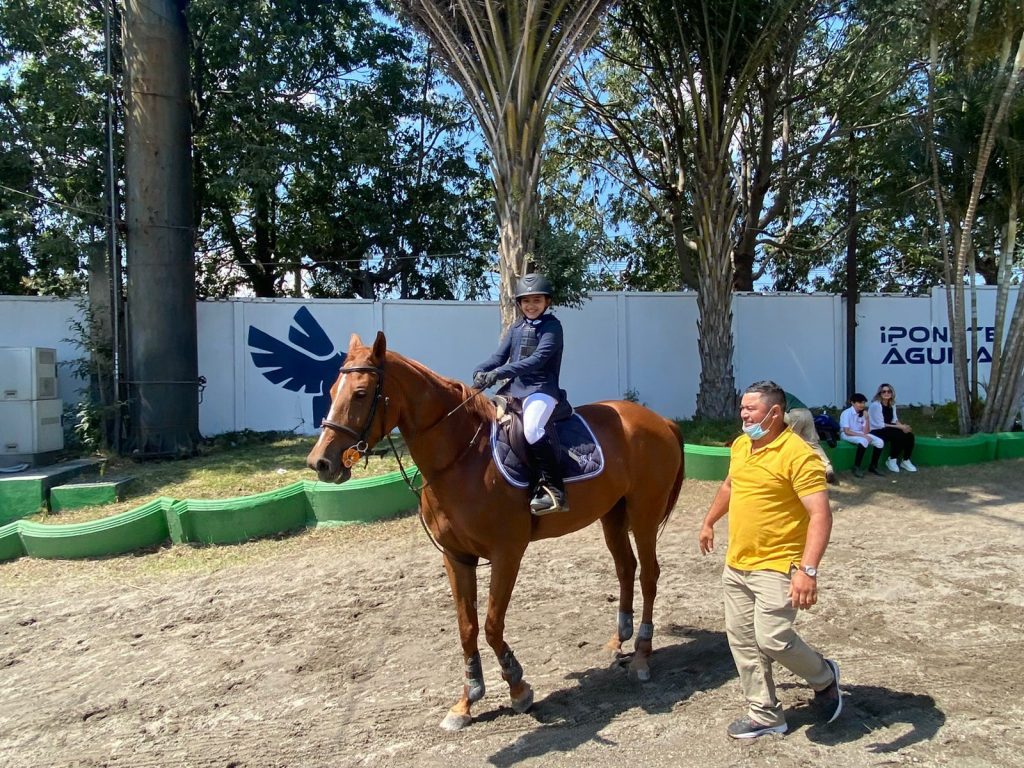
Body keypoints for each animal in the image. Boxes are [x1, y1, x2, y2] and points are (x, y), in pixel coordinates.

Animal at [307, 333, 684, 729]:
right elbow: (467, 627)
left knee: (649, 575)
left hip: (644, 513)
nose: (320, 463)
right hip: (613, 514)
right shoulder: (457, 558)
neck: (460, 459)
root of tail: (659, 420)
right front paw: (467, 700)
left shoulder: (507, 554)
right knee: (626, 568)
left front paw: (518, 687)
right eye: (331, 390)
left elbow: (491, 624)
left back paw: (641, 656)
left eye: (361, 393)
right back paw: (617, 642)